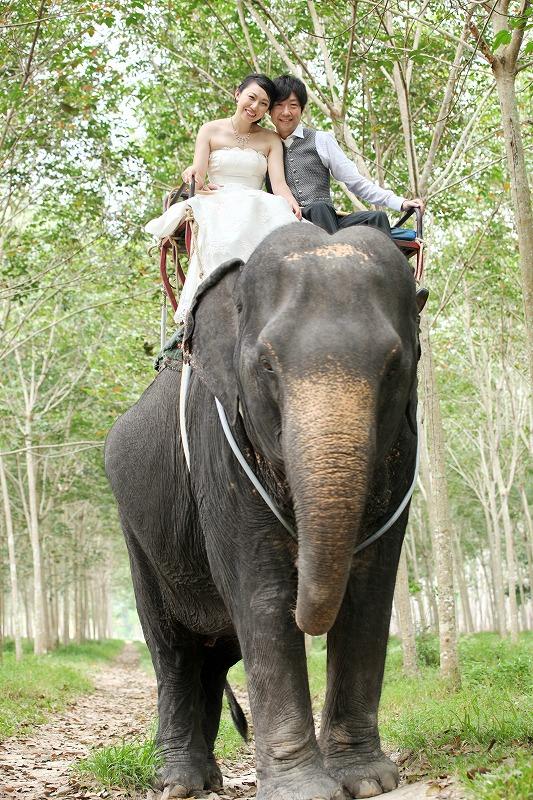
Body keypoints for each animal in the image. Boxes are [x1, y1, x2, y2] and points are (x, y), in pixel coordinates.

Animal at [105, 223, 428, 800]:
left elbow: (369, 591)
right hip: (136, 533)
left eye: (395, 366)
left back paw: (208, 778)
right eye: (266, 366)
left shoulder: (403, 455)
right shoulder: (220, 447)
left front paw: (368, 780)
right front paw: (307, 789)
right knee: (173, 649)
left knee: (212, 658)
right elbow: (264, 594)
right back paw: (178, 782)